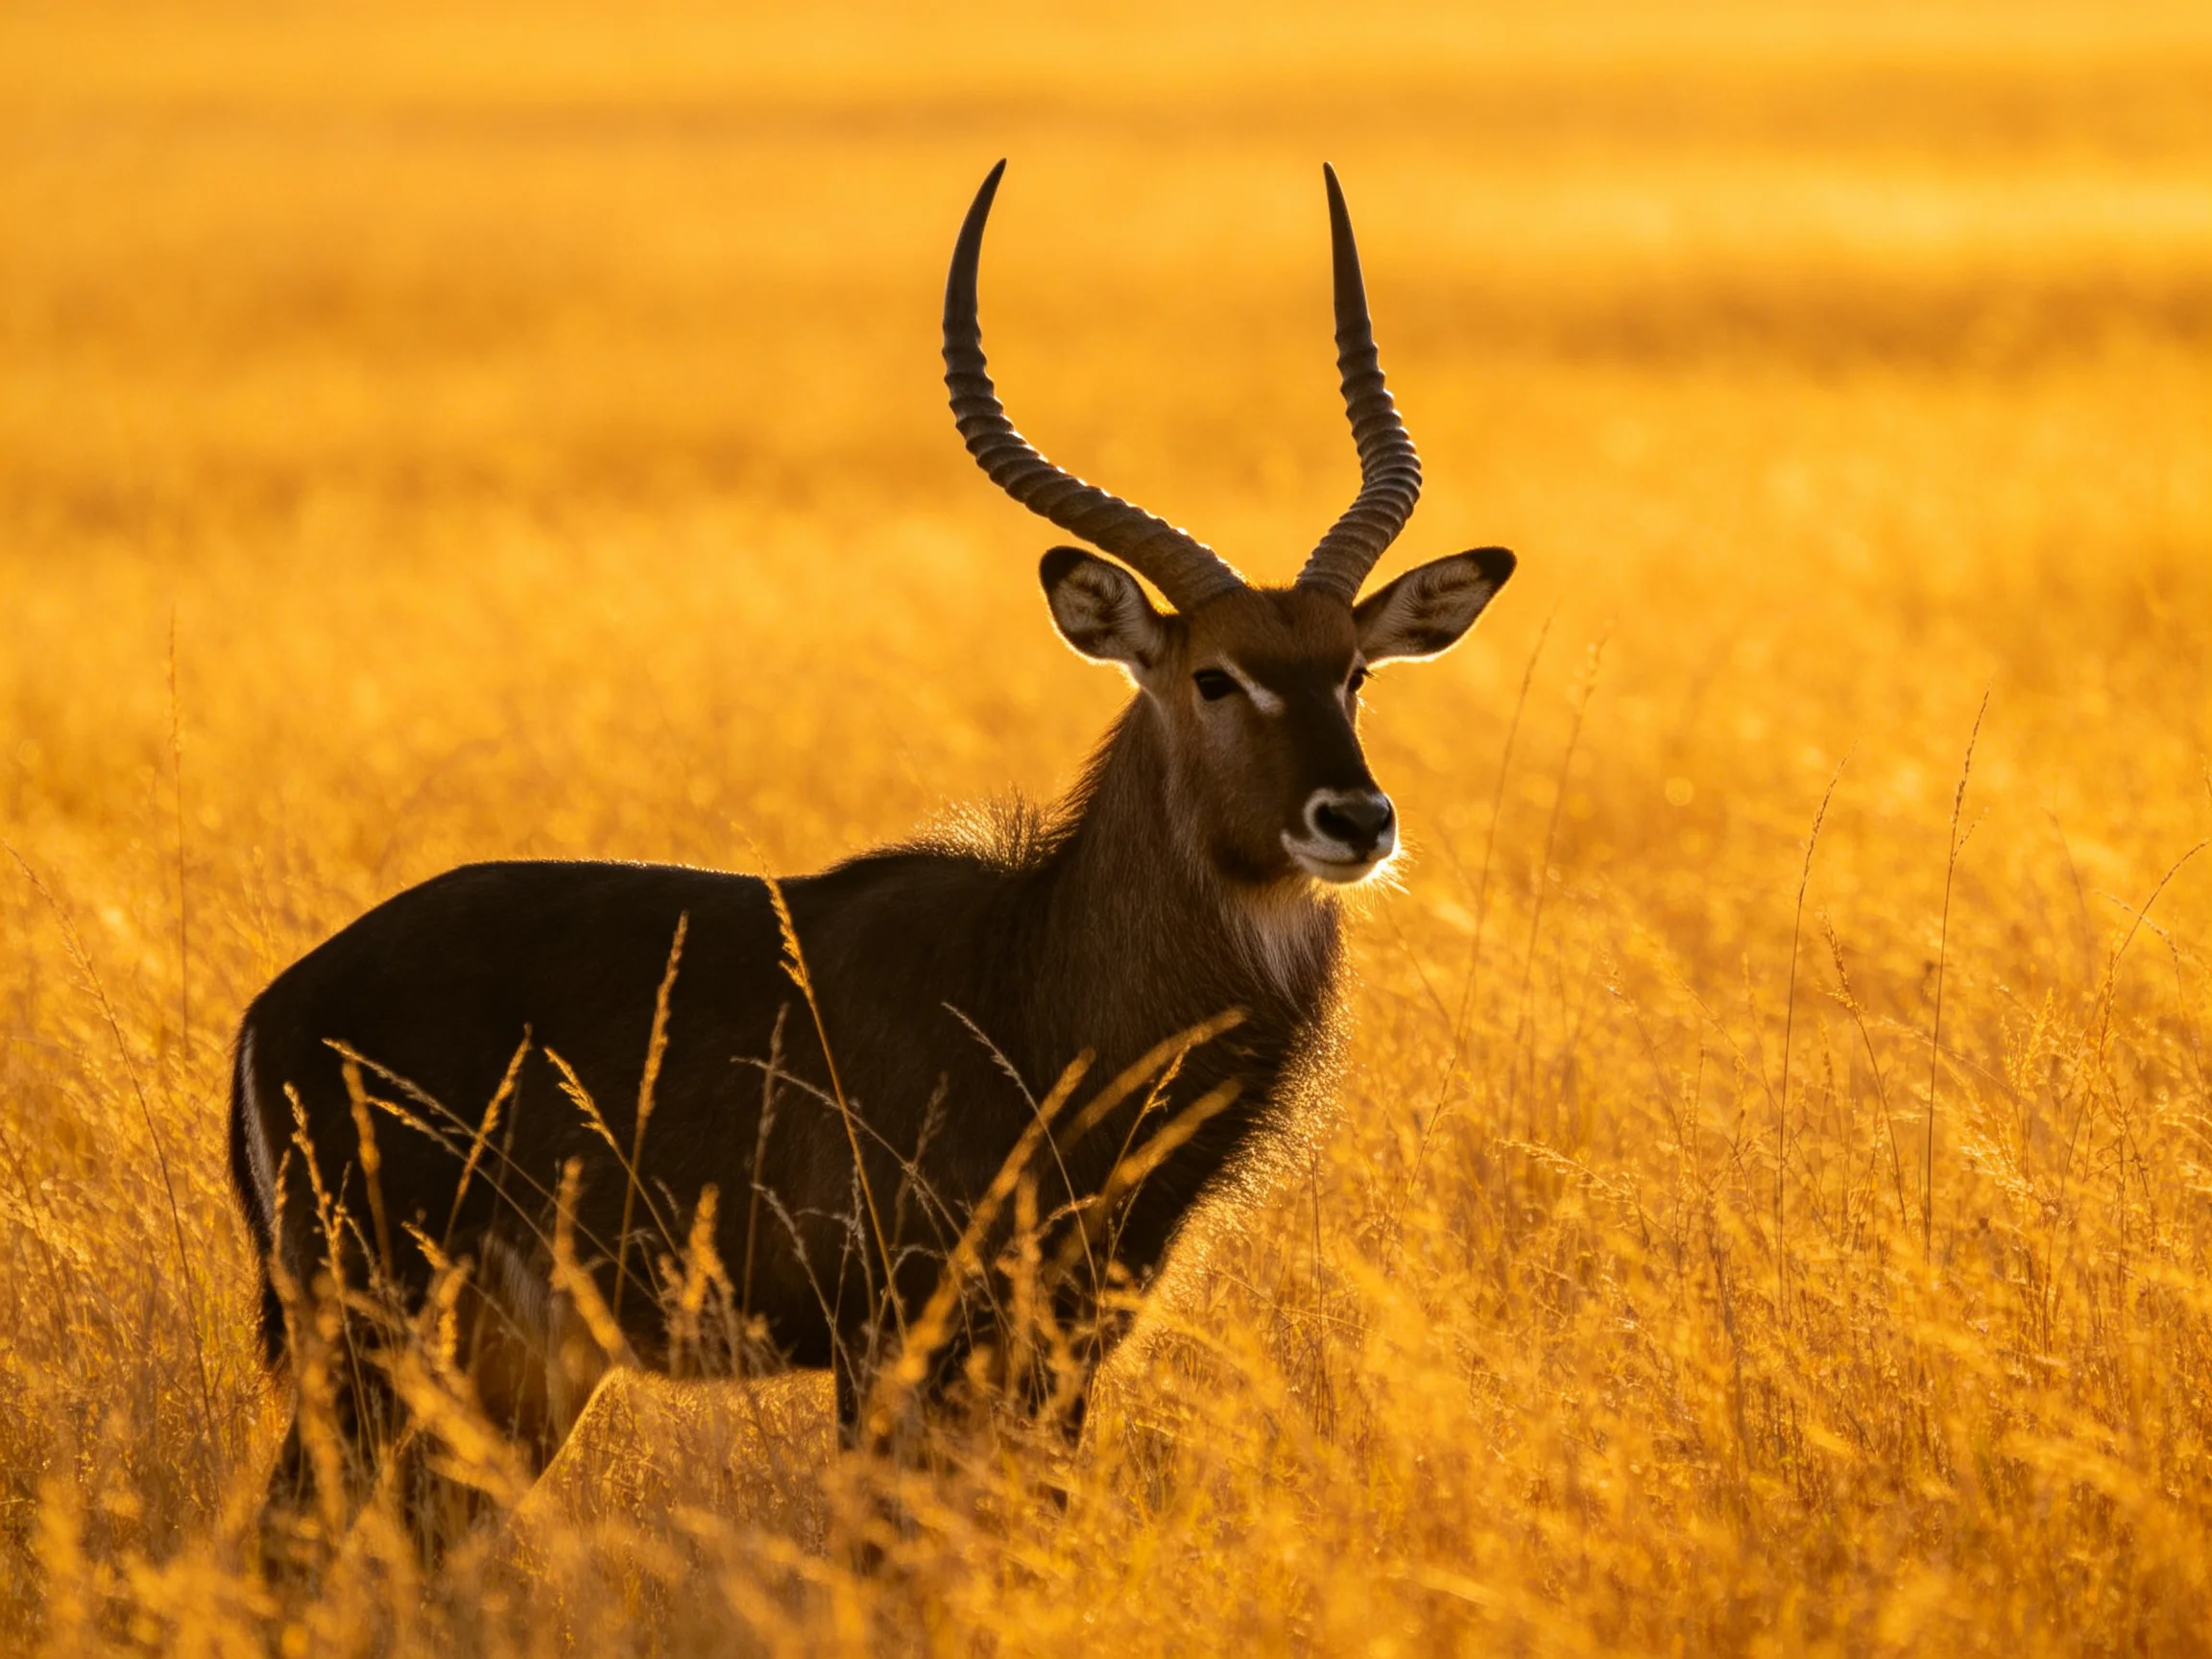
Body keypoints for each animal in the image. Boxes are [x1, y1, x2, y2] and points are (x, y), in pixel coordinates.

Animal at [230, 160, 1514, 1553]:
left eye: (1353, 671)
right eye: (1215, 676)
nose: (1355, 819)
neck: (1033, 977)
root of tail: (274, 1008)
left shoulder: (1069, 1338)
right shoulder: (890, 1333)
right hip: (381, 1328)